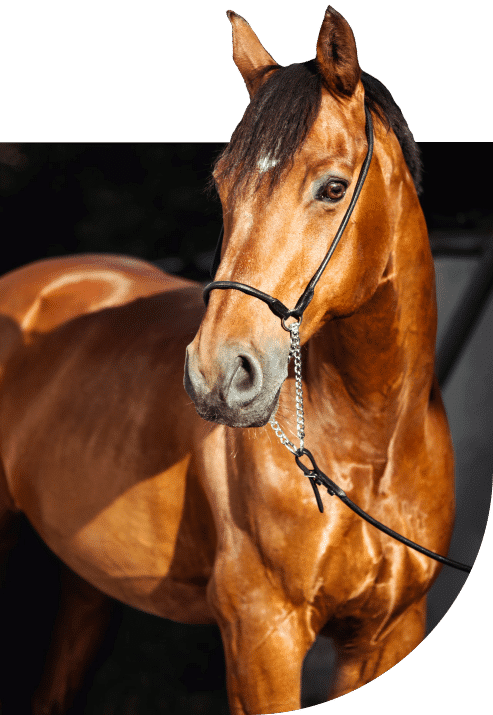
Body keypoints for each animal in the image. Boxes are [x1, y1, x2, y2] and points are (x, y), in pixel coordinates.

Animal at [0, 7, 456, 715]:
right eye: (223, 187)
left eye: (332, 187)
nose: (216, 376)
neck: (369, 447)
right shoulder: (262, 635)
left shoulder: (390, 631)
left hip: (87, 585)